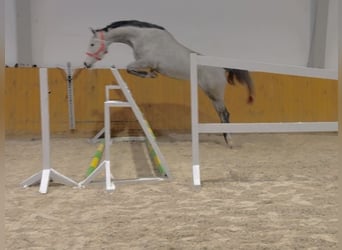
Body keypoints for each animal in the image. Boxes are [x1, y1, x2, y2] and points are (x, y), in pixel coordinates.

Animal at [83, 20, 254, 146]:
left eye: (92, 44)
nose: (86, 64)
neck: (142, 37)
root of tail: (221, 67)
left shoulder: (145, 61)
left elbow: (129, 68)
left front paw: (150, 74)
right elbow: (130, 69)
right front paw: (151, 74)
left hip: (214, 94)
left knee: (224, 113)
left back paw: (229, 141)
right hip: (212, 95)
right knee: (222, 114)